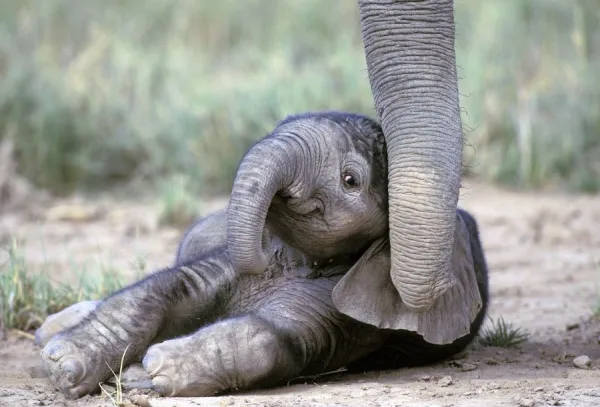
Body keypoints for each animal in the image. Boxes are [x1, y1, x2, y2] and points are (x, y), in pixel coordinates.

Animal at [36, 113, 488, 400]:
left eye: (350, 180)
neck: (297, 259)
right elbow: (163, 289)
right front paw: (64, 365)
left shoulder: (347, 308)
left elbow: (273, 338)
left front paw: (159, 369)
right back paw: (48, 332)